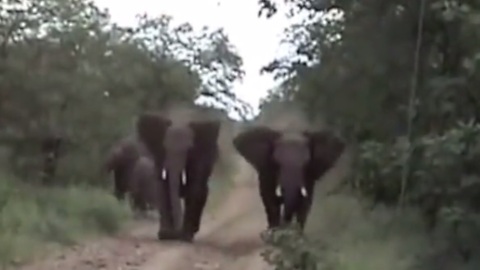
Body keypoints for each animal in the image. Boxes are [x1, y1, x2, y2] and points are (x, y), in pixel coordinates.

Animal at [134, 112, 218, 243]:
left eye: (190, 149)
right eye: (165, 147)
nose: (175, 233)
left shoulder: (199, 160)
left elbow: (194, 190)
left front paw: (185, 237)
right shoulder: (160, 158)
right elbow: (162, 189)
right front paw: (164, 235)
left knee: (202, 192)